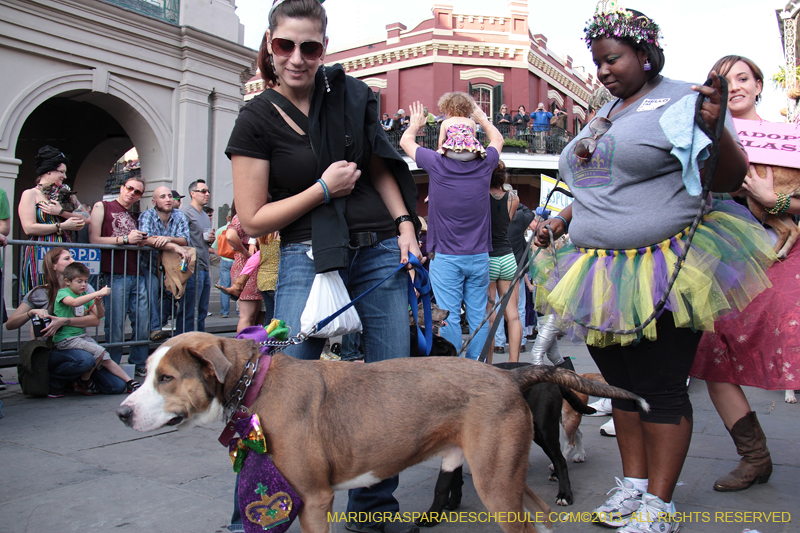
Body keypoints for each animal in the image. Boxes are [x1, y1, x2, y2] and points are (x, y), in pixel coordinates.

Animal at [115, 332, 648, 532]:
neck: (255, 385)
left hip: (496, 479)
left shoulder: (313, 499)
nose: (121, 412)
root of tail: (509, 376)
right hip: (504, 474)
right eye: (148, 372)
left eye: (166, 378)